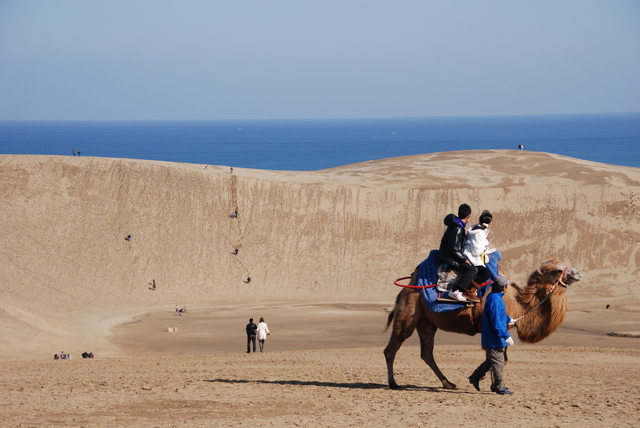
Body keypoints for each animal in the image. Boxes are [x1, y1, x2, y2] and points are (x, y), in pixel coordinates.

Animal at [382, 260, 584, 390]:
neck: (518, 303)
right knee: (392, 347)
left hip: (426, 322)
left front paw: (485, 381)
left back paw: (448, 383)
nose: (578, 273)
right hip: (409, 312)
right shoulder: (493, 327)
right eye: (557, 270)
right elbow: (498, 357)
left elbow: (499, 357)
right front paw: (492, 384)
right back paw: (393, 383)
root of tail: (405, 290)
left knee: (426, 353)